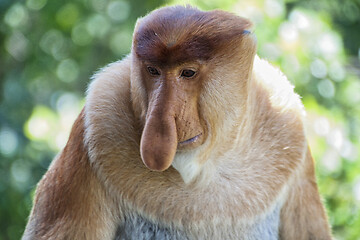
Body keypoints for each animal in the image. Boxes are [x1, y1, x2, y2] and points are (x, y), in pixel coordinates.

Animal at [22, 5, 332, 240]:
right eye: (153, 70)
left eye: (187, 72)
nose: (161, 125)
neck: (205, 167)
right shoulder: (95, 124)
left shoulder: (290, 127)